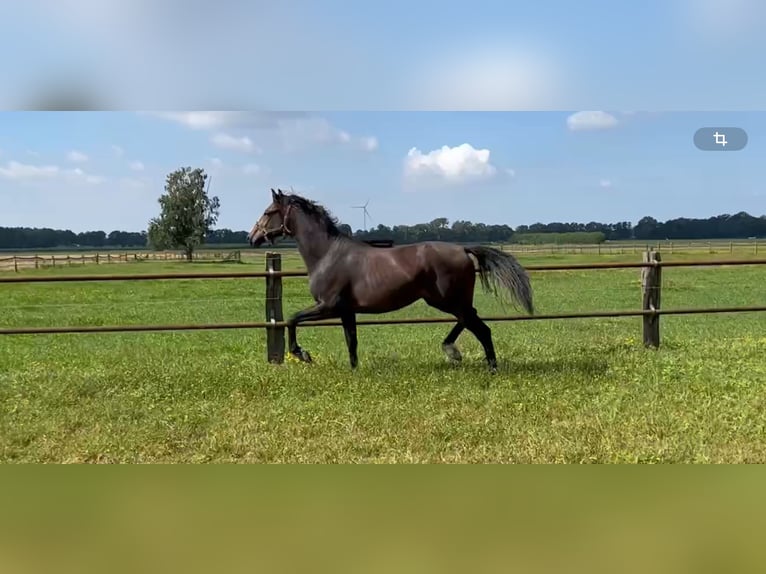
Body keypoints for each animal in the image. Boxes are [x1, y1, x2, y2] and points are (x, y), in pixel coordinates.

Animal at [249, 190, 536, 374]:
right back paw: (459, 353)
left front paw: (302, 354)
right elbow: (351, 341)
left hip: (447, 300)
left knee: (479, 327)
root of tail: (463, 249)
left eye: (268, 212)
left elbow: (292, 319)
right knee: (470, 321)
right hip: (447, 300)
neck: (327, 254)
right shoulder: (346, 311)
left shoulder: (327, 306)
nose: (253, 238)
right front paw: (354, 371)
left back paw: (481, 363)